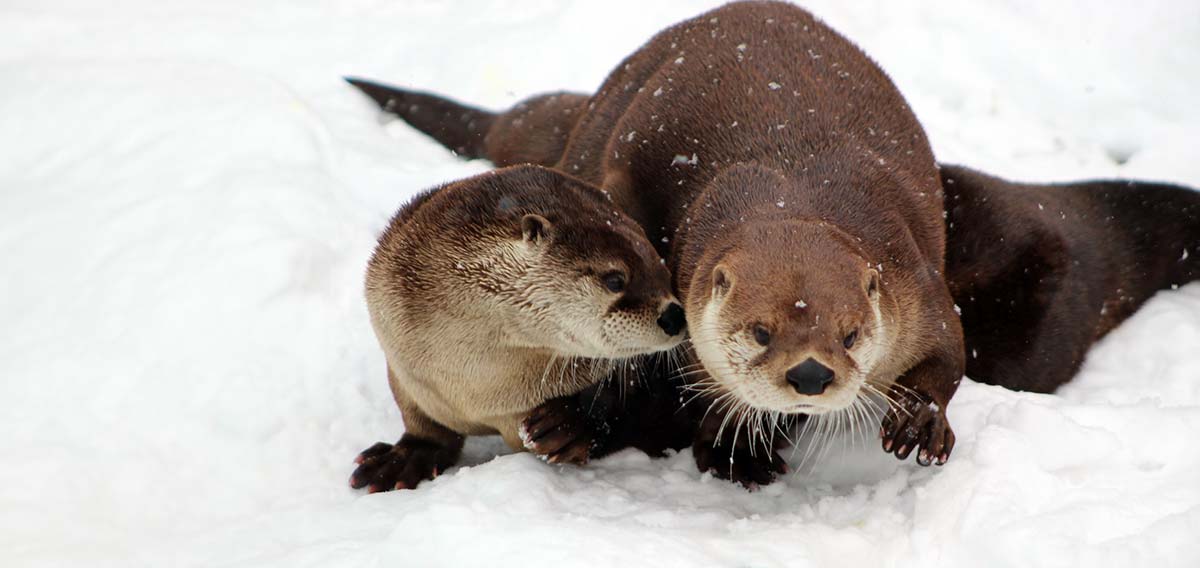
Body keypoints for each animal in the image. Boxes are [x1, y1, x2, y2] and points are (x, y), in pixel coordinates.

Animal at [348, 163, 686, 492]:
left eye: (664, 273)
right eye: (615, 279)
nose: (675, 317)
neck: (481, 385)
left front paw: (568, 425)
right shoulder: (404, 367)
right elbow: (424, 425)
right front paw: (407, 456)